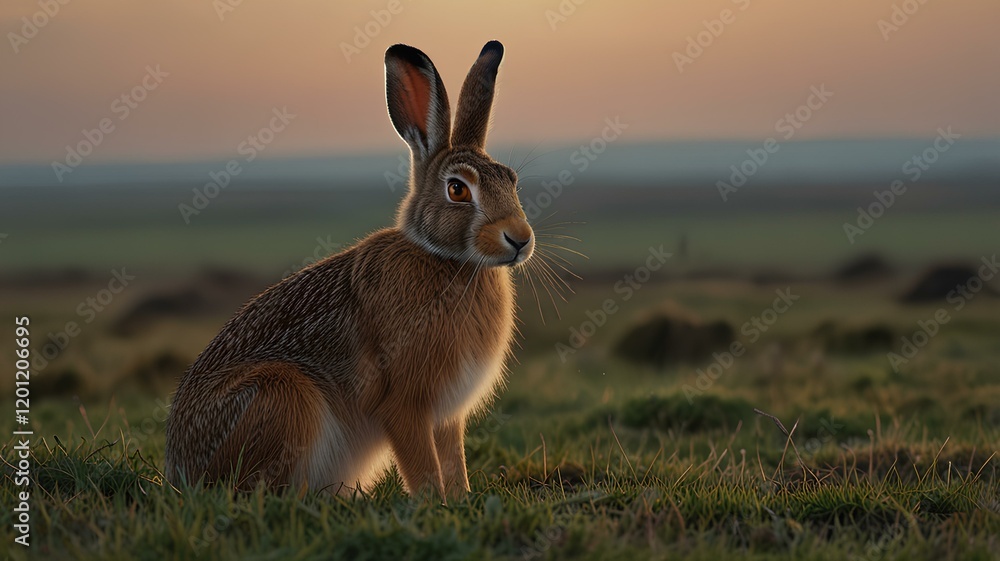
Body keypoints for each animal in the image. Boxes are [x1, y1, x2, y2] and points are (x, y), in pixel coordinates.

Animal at [164, 40, 533, 502]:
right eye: (457, 189)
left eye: (512, 180)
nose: (520, 239)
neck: (448, 261)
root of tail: (178, 469)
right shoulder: (403, 403)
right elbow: (424, 465)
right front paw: (433, 504)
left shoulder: (448, 416)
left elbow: (454, 463)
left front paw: (462, 500)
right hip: (283, 396)